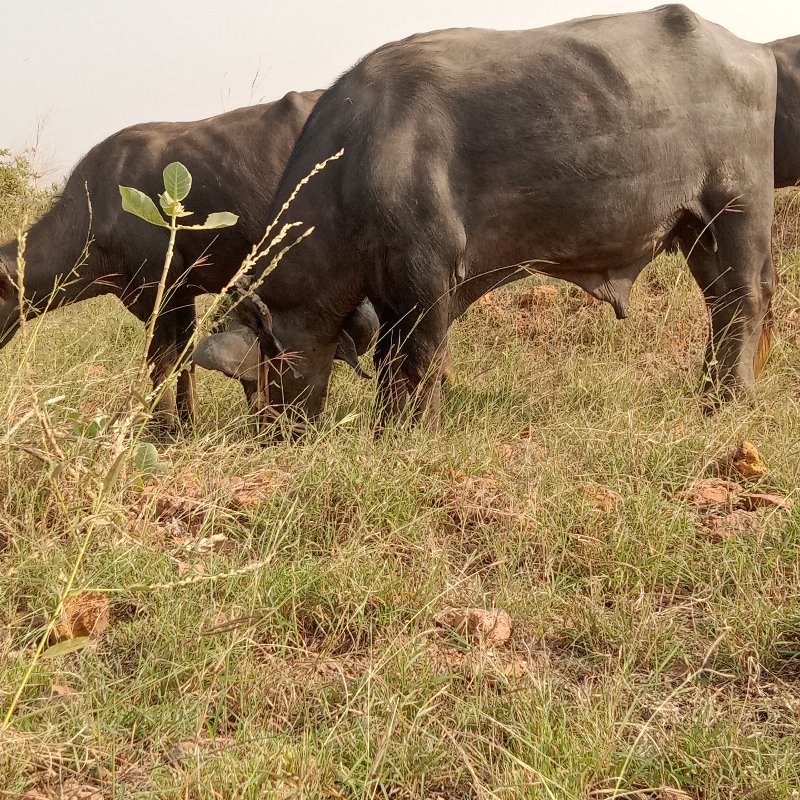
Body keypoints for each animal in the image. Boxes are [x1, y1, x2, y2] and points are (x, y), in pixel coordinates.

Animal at [0, 90, 378, 428]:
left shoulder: (156, 291)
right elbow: (185, 360)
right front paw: (188, 422)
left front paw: (164, 427)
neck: (97, 211)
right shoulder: (182, 295)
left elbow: (162, 360)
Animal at [228, 4, 780, 432]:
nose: (268, 430)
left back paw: (729, 401)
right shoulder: (388, 292)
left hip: (739, 208)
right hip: (695, 228)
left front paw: (414, 430)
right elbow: (389, 359)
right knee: (720, 304)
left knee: (745, 301)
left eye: (268, 360)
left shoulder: (425, 273)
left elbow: (421, 357)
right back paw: (708, 394)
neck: (360, 159)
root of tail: (754, 52)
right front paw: (387, 425)